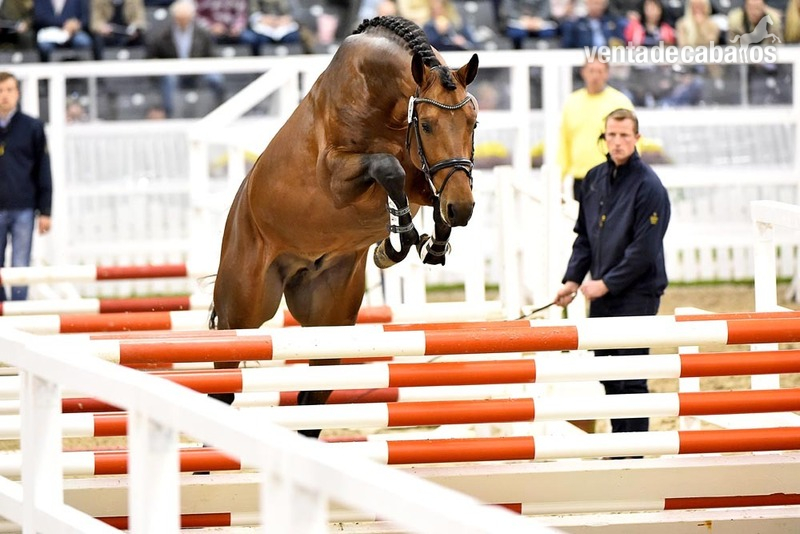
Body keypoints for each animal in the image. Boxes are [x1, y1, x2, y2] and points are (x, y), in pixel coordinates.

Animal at [209, 16, 480, 438]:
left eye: (473, 122)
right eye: (428, 125)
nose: (463, 209)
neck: (381, 99)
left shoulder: (424, 176)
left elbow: (427, 186)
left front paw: (427, 242)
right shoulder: (338, 178)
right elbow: (389, 168)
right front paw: (399, 241)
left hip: (329, 321)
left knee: (312, 401)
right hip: (243, 311)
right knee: (222, 385)